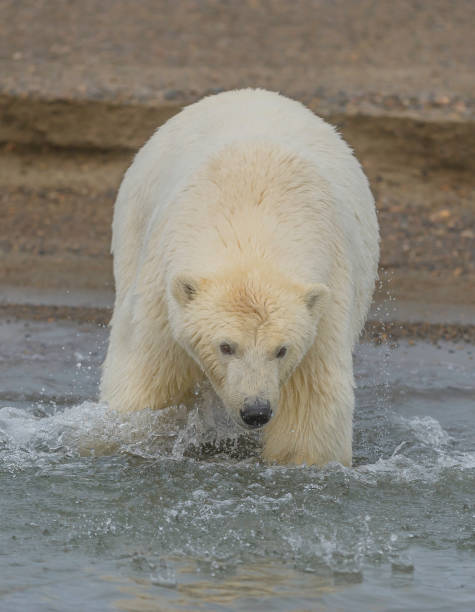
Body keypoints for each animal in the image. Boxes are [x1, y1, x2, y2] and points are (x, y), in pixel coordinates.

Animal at [100, 88, 380, 466]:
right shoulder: (162, 291)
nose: (255, 410)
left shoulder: (326, 301)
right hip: (133, 222)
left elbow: (310, 409)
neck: (254, 226)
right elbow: (148, 379)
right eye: (226, 346)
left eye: (281, 350)